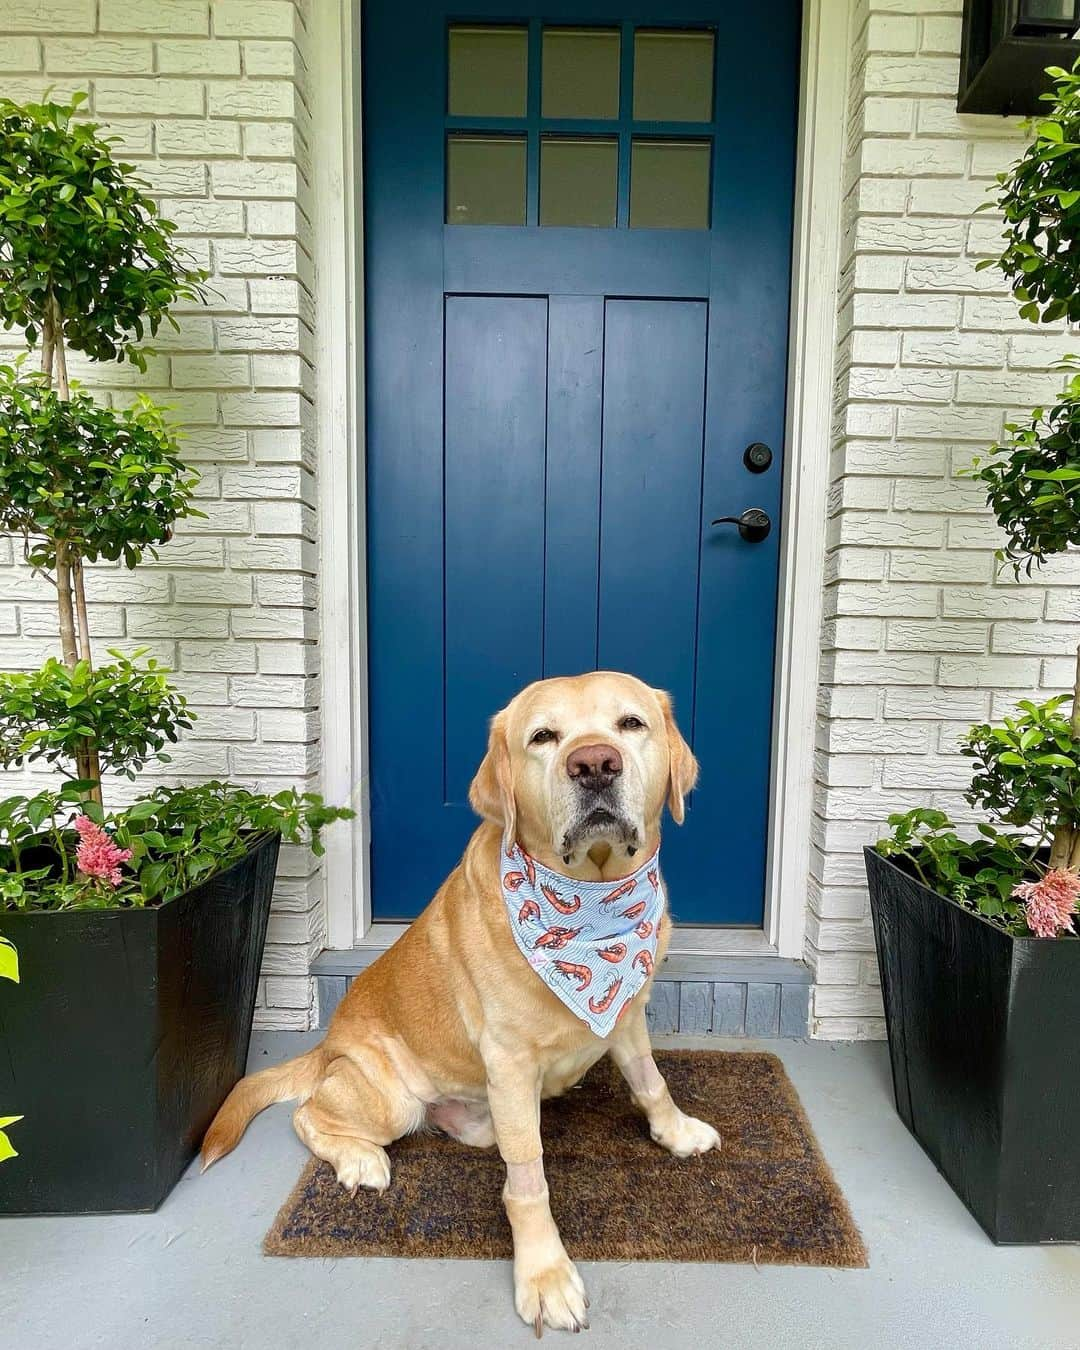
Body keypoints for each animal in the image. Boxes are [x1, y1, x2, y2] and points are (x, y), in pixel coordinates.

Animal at [206, 669, 723, 1333]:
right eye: (543, 736)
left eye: (631, 724)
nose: (594, 764)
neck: (594, 898)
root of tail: (329, 1047)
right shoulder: (509, 1060)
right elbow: (528, 1179)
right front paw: (544, 1274)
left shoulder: (626, 1013)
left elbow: (650, 1080)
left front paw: (675, 1132)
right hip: (390, 1099)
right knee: (310, 1114)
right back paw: (360, 1161)